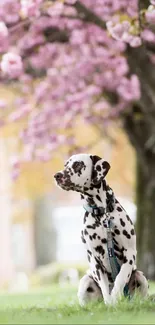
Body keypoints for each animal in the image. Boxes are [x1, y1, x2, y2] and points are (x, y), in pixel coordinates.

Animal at [54, 153, 148, 306]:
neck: (102, 214)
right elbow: (105, 288)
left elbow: (121, 277)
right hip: (85, 281)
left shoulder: (130, 253)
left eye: (78, 165)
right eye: (65, 165)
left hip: (141, 276)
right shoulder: (95, 260)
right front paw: (110, 303)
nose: (57, 175)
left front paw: (115, 296)